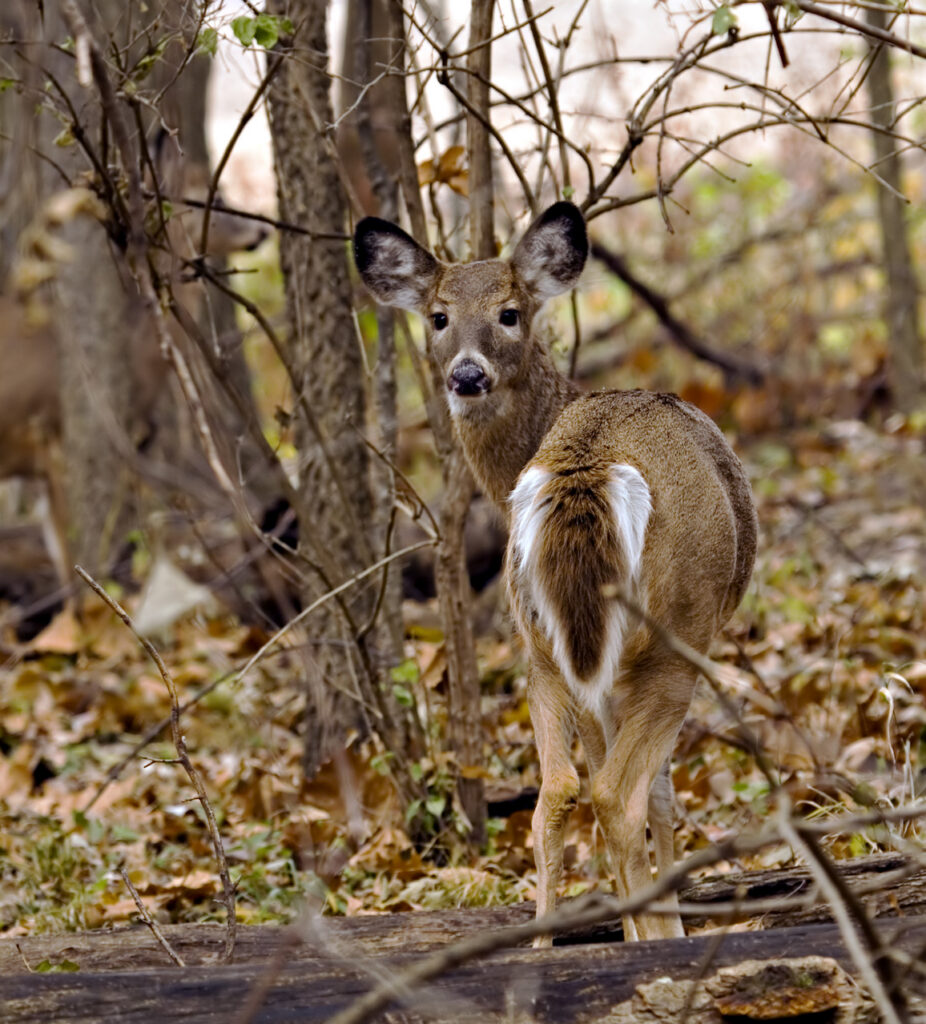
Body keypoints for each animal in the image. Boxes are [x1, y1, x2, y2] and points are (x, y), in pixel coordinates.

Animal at [354, 201, 757, 945]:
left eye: (509, 312)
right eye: (438, 316)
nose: (467, 375)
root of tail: (585, 468)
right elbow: (658, 795)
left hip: (542, 640)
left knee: (558, 792)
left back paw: (545, 945)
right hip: (676, 632)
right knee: (618, 793)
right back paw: (651, 943)